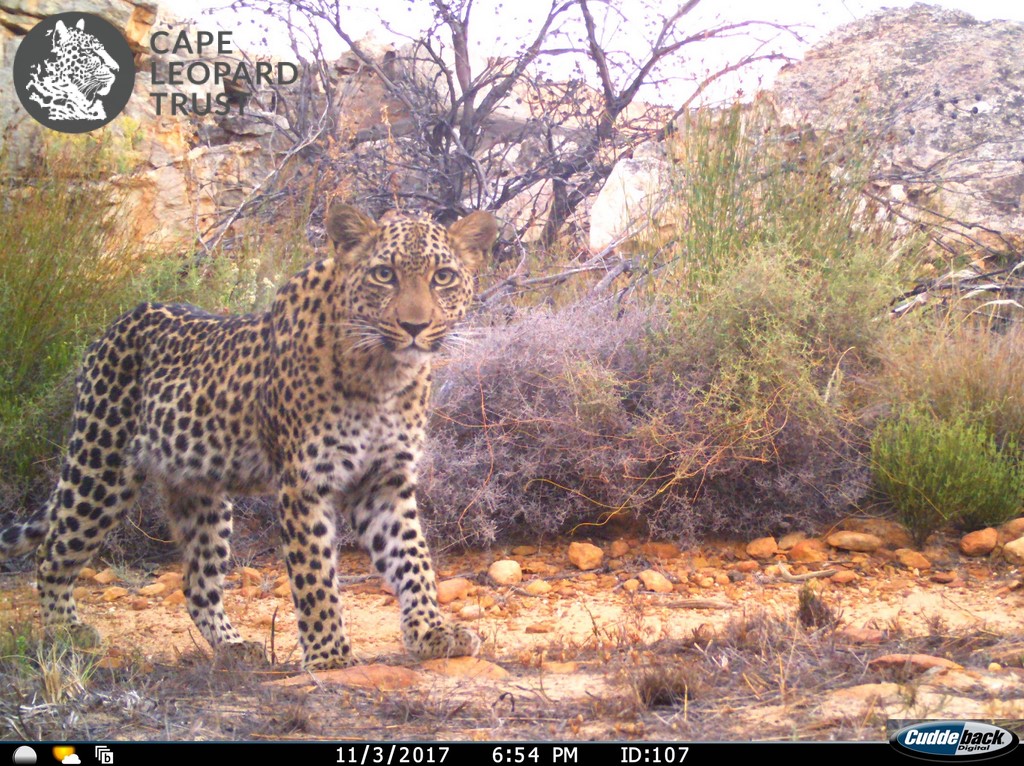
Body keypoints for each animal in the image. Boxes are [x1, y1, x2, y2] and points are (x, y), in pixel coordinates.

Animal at [0, 204, 498, 670]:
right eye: (384, 274)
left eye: (443, 277)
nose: (415, 327)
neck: (384, 375)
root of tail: (113, 326)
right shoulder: (304, 482)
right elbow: (315, 575)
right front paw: (328, 655)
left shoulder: (385, 481)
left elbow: (412, 559)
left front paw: (432, 633)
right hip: (100, 470)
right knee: (51, 552)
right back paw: (65, 632)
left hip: (200, 493)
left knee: (196, 582)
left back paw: (234, 647)